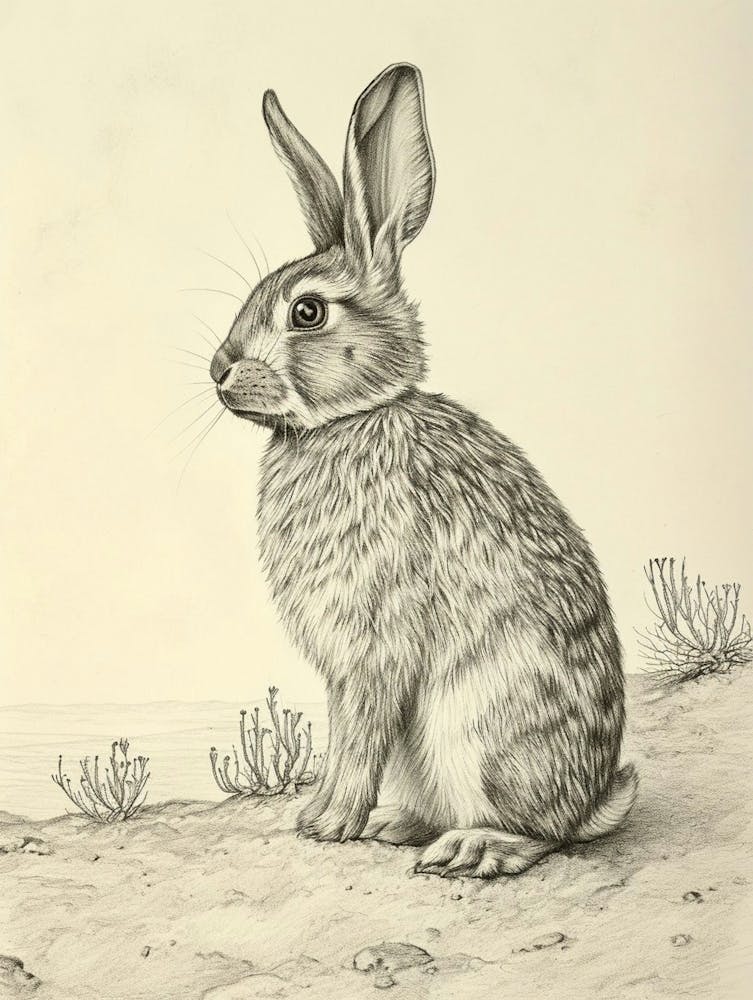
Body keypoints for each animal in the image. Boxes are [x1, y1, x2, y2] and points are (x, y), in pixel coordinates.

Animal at [209, 62, 637, 878]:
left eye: (306, 313)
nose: (218, 371)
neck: (348, 420)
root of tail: (594, 799)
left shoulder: (377, 640)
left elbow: (359, 734)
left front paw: (331, 820)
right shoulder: (344, 666)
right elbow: (345, 730)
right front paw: (321, 815)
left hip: (480, 732)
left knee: (544, 834)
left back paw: (471, 847)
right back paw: (400, 824)